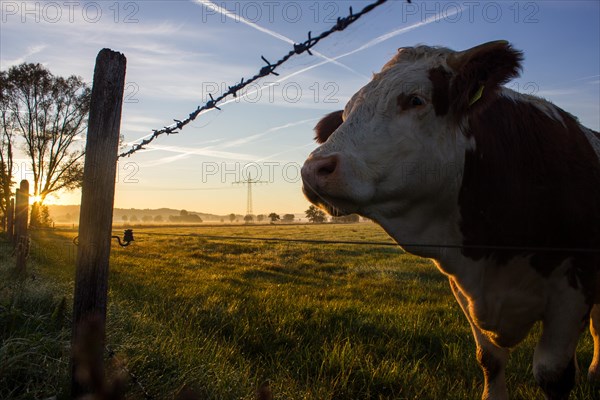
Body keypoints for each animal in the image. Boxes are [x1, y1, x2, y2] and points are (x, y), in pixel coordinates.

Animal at [302, 41, 600, 400]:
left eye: (416, 100)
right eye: (345, 115)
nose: (313, 170)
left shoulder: (573, 290)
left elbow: (553, 373)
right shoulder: (463, 289)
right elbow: (489, 360)